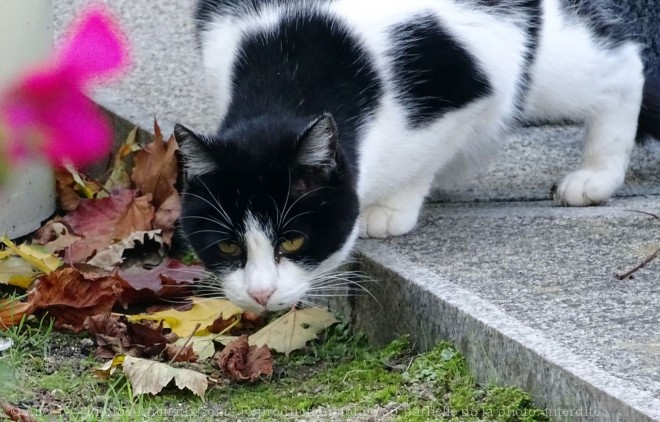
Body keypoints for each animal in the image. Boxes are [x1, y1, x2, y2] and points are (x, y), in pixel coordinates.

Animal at [175, 0, 660, 314]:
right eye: (228, 245)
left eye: (292, 241)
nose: (259, 294)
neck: (292, 68)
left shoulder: (460, 90)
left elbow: (425, 156)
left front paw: (392, 209)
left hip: (538, 60)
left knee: (617, 64)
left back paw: (596, 174)